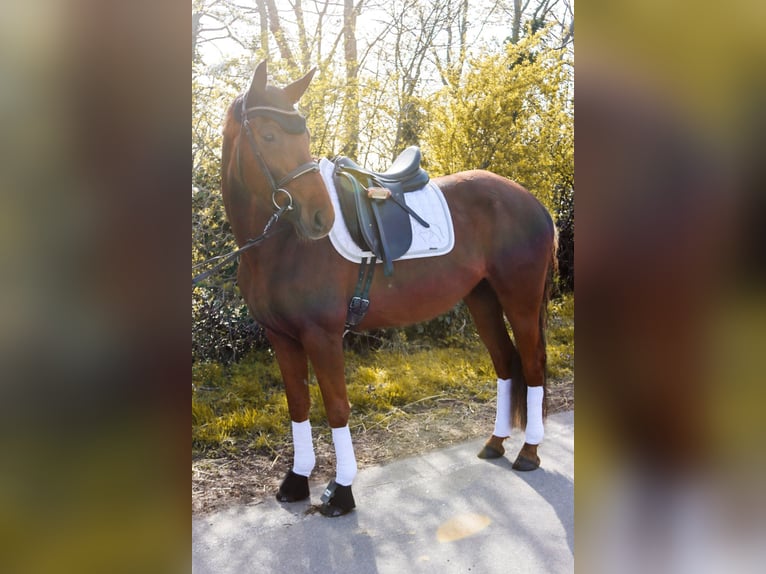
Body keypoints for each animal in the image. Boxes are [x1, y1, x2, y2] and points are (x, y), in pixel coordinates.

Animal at [220, 61, 557, 517]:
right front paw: (296, 480)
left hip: (519, 299)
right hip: (482, 299)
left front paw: (341, 492)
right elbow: (298, 405)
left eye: (303, 136)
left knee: (533, 365)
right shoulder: (282, 337)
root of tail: (531, 200)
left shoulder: (322, 336)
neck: (279, 246)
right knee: (506, 363)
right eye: (269, 135)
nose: (320, 217)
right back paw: (496, 442)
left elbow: (337, 408)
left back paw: (529, 452)